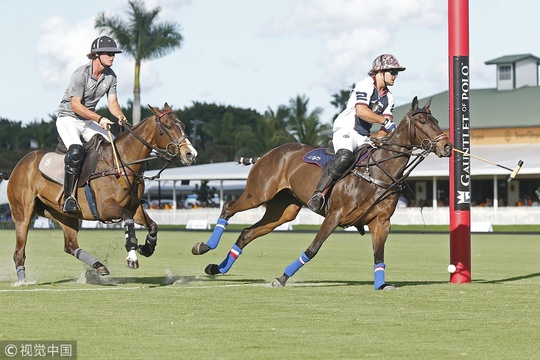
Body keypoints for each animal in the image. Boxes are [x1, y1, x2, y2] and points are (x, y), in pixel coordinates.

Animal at [7, 103, 197, 284]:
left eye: (183, 125)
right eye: (168, 126)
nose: (190, 154)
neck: (122, 163)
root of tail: (18, 166)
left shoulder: (135, 207)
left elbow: (153, 226)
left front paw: (147, 248)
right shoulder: (105, 209)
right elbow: (128, 222)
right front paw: (132, 257)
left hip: (63, 214)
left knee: (70, 246)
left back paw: (99, 267)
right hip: (23, 214)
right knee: (19, 251)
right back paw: (23, 281)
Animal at [192, 97, 454, 292]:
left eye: (436, 120)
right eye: (422, 121)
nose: (447, 147)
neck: (378, 171)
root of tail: (266, 154)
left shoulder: (381, 222)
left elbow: (378, 254)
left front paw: (381, 285)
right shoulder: (334, 215)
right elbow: (312, 249)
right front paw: (282, 278)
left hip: (283, 210)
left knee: (247, 233)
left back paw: (216, 268)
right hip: (258, 193)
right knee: (228, 208)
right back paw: (204, 247)